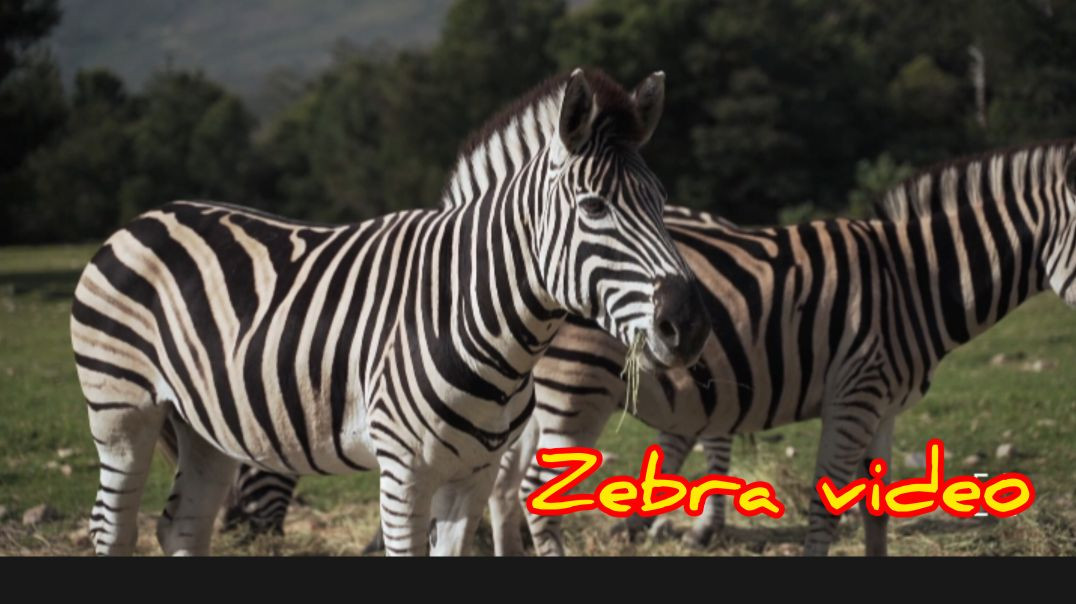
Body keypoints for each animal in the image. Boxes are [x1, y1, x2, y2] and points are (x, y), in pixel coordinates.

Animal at [70, 67, 710, 556]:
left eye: (661, 202)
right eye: (595, 207)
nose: (690, 324)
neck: (473, 317)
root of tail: (145, 218)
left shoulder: (473, 475)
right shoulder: (404, 472)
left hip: (204, 426)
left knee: (181, 525)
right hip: (120, 411)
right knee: (111, 526)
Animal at [201, 139, 1076, 556]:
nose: (237, 530)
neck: (913, 276)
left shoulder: (884, 402)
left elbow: (878, 512)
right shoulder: (856, 387)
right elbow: (831, 505)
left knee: (507, 487)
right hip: (569, 392)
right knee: (528, 491)